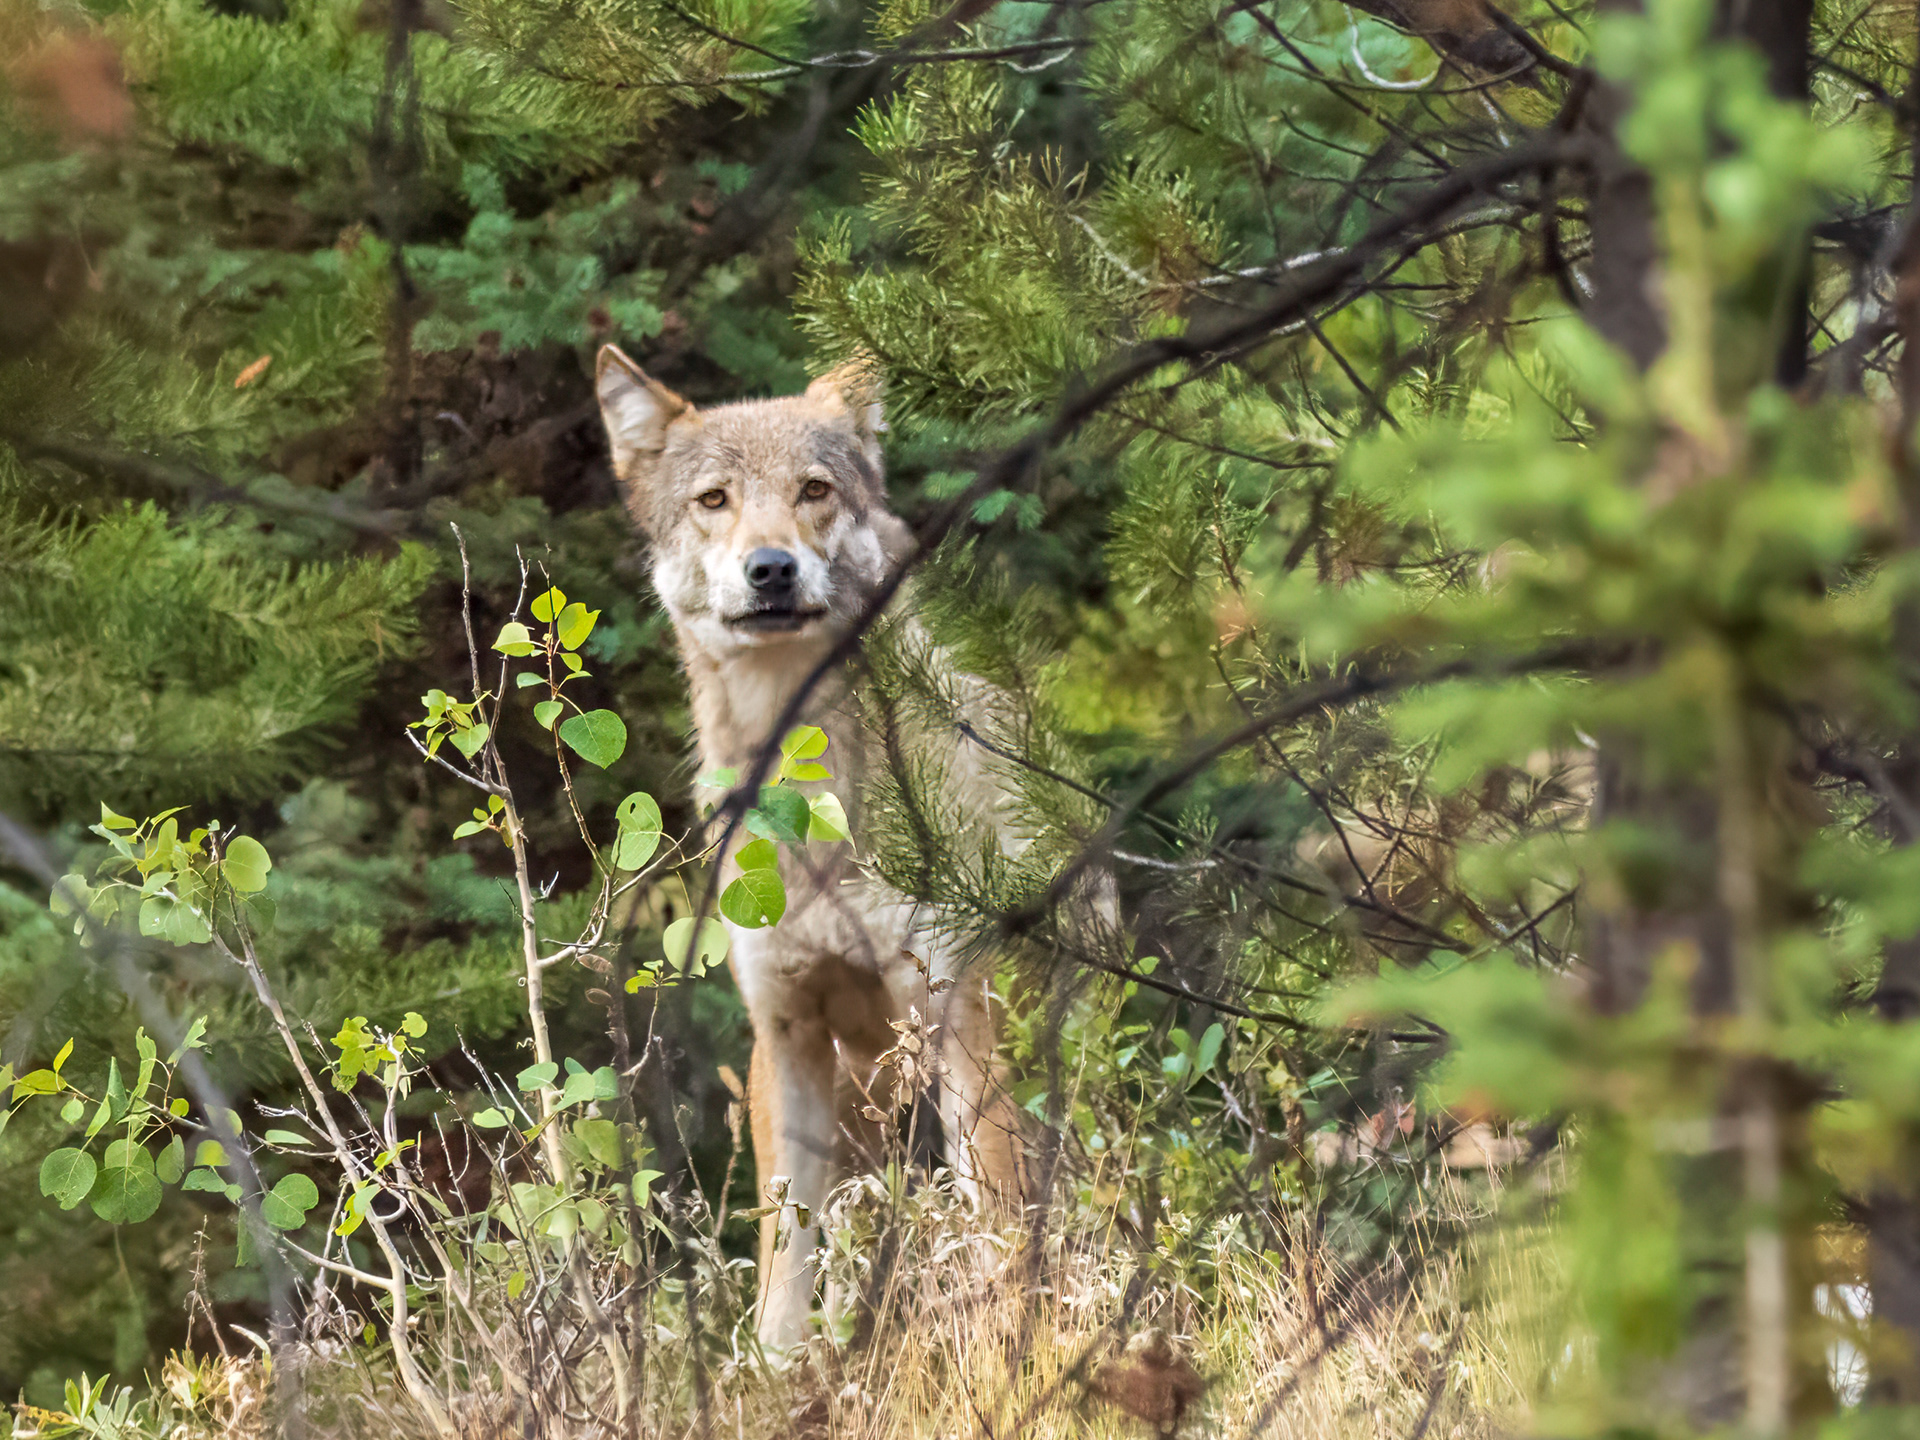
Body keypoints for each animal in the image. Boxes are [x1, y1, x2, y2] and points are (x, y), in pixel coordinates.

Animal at [595, 345, 1027, 1348]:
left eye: (813, 490)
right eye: (715, 499)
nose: (771, 569)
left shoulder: (957, 1012)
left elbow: (999, 1230)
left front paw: (1021, 1349)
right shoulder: (783, 1031)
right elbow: (781, 1260)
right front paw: (778, 1368)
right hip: (855, 1089)